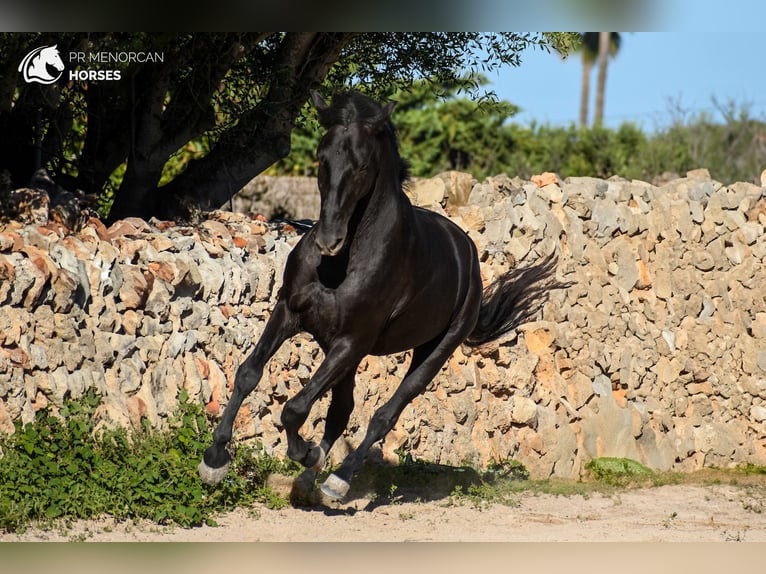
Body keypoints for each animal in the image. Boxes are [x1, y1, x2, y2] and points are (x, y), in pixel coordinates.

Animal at [201, 89, 568, 500]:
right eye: (321, 158)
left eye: (362, 166)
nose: (328, 240)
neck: (342, 265)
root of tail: (468, 258)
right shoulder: (290, 313)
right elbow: (249, 373)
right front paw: (214, 460)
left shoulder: (352, 341)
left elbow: (296, 408)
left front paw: (304, 451)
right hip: (341, 352)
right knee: (341, 410)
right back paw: (312, 477)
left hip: (432, 350)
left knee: (384, 415)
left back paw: (338, 479)